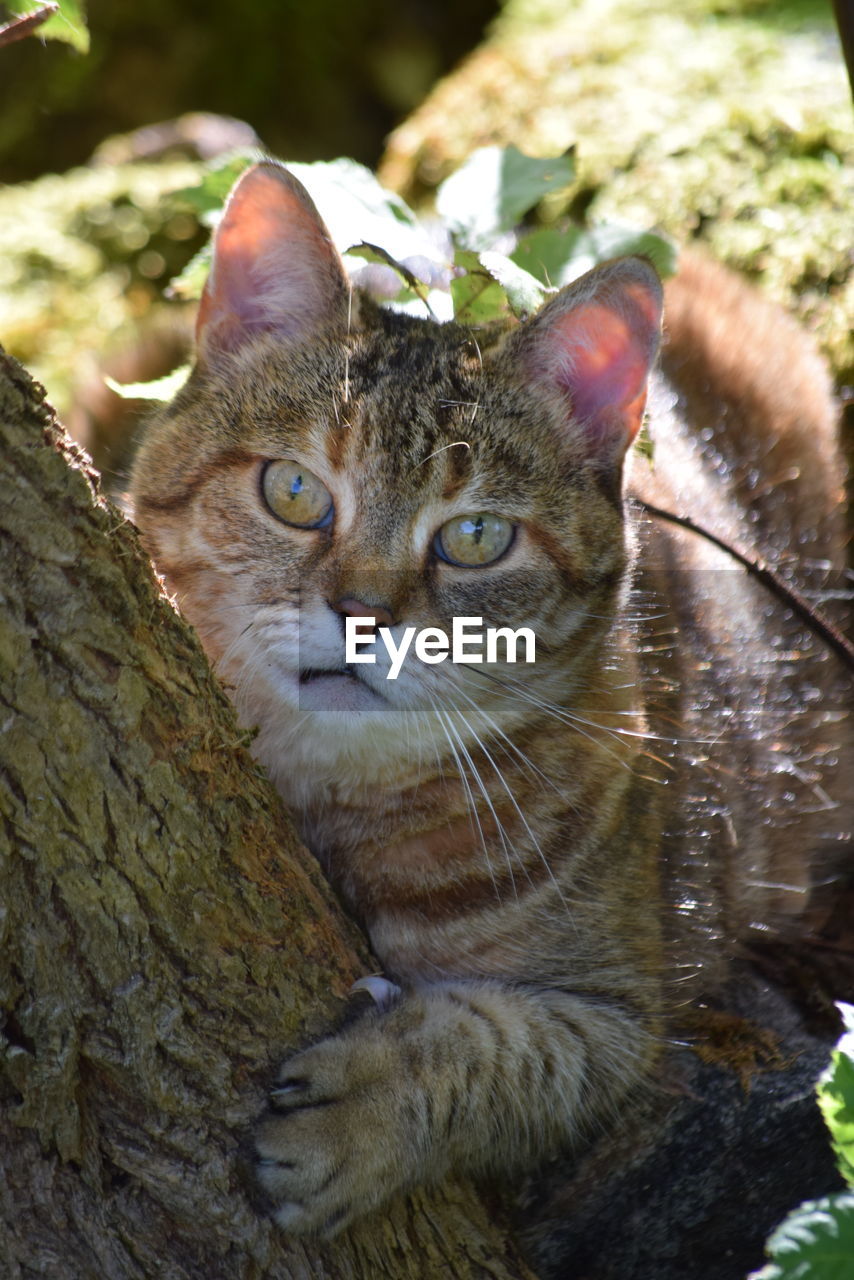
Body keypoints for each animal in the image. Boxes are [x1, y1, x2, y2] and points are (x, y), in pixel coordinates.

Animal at [130, 157, 850, 1228]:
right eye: (294, 492)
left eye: (475, 538)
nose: (361, 613)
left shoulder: (626, 1023)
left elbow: (488, 1049)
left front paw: (365, 1108)